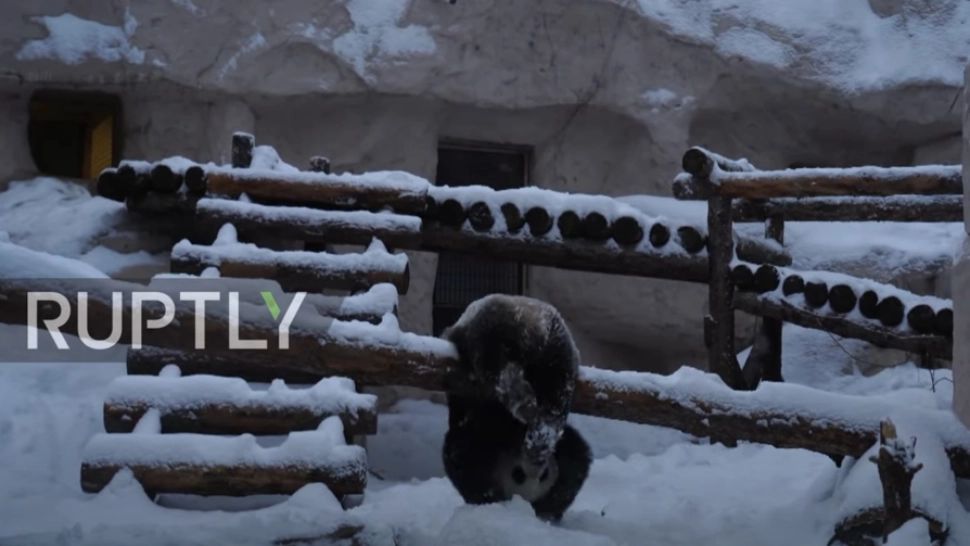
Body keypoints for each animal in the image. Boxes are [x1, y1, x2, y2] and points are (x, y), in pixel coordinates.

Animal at [441, 294, 591, 521]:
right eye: (518, 475)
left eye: (543, 476)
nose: (536, 468)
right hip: (554, 343)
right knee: (558, 385)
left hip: (495, 326)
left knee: (492, 360)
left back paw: (523, 402)